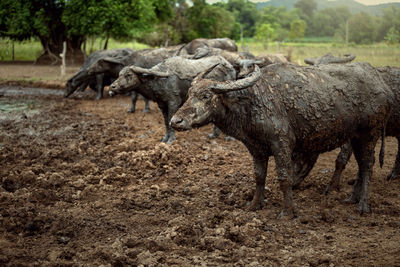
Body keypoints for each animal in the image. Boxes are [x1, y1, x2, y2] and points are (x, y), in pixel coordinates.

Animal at [108, 55, 236, 144]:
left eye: (128, 75)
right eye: (119, 74)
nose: (112, 86)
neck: (160, 81)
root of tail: (229, 66)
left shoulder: (173, 103)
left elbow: (171, 121)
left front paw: (171, 140)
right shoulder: (162, 104)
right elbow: (166, 122)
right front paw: (165, 138)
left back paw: (229, 137)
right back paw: (214, 134)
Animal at [170, 62, 392, 218]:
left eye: (206, 96)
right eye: (189, 94)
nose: (175, 121)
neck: (255, 103)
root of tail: (383, 85)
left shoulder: (282, 145)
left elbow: (285, 177)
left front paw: (288, 211)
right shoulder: (256, 149)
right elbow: (259, 176)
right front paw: (254, 204)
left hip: (370, 134)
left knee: (368, 165)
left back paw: (363, 205)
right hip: (355, 137)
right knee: (362, 165)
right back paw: (352, 199)